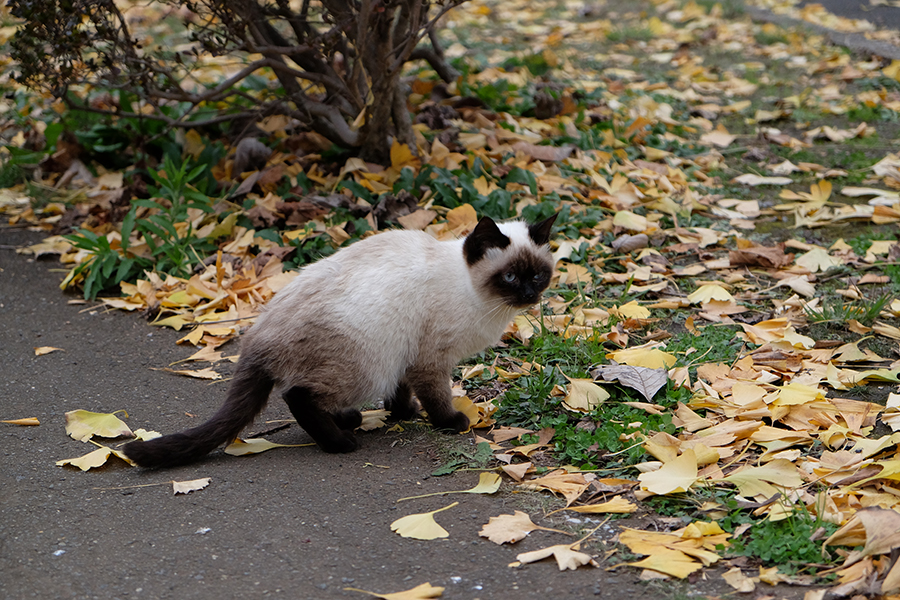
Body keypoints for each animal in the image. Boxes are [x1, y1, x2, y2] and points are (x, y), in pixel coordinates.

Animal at [119, 212, 556, 468]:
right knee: (297, 397)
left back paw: (349, 419)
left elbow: (400, 393)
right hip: (366, 365)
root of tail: (257, 337)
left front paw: (403, 414)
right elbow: (436, 398)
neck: (480, 300)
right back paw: (341, 442)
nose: (529, 296)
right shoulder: (429, 359)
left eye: (537, 275)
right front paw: (449, 422)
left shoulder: (405, 356)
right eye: (510, 277)